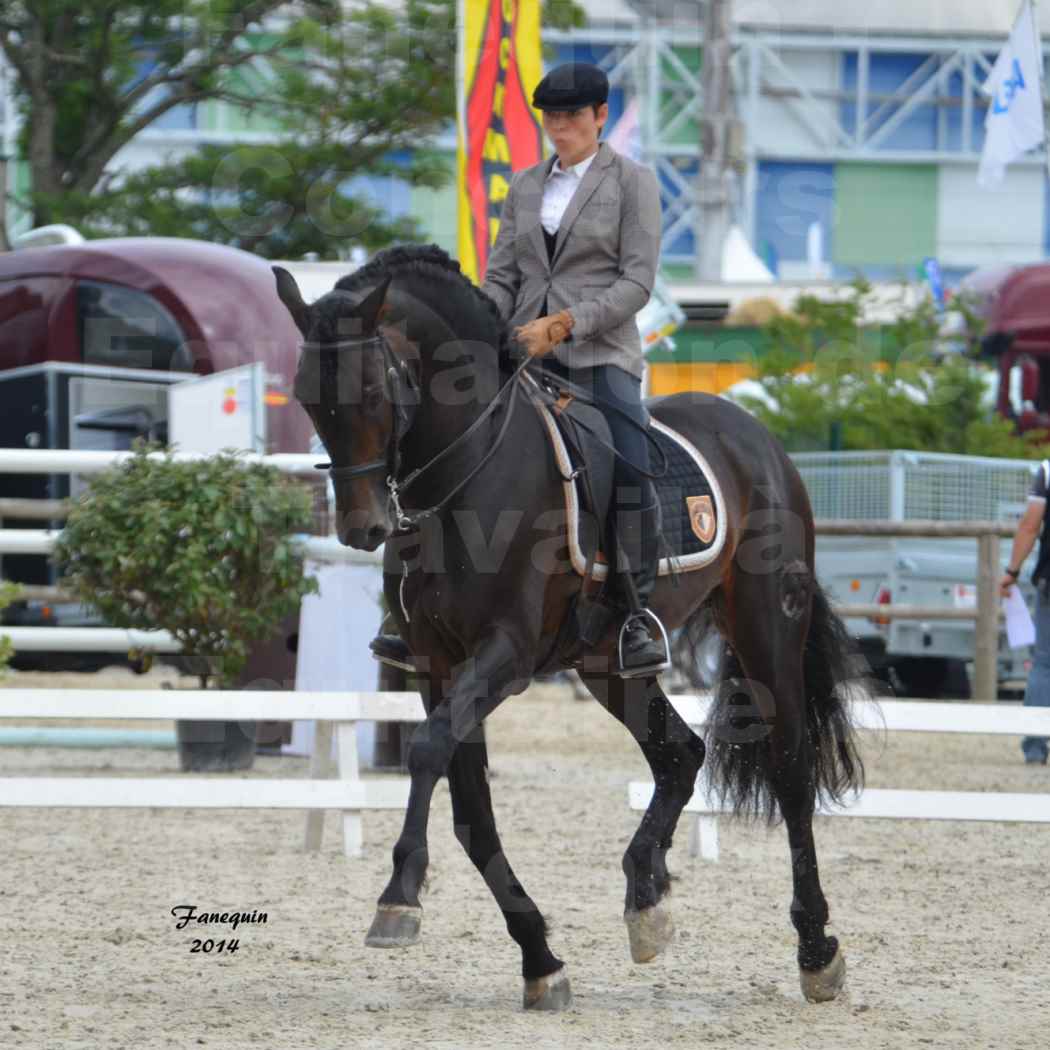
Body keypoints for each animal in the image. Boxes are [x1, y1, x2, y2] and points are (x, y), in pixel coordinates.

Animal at [275, 241, 865, 1012]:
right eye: (306, 397)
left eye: (375, 389)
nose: (362, 528)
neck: (465, 476)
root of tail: (759, 437)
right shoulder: (437, 663)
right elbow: (472, 810)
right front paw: (540, 961)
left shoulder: (506, 653)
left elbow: (428, 753)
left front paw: (399, 896)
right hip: (607, 663)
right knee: (680, 755)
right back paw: (647, 900)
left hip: (765, 630)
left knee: (791, 770)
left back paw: (816, 950)